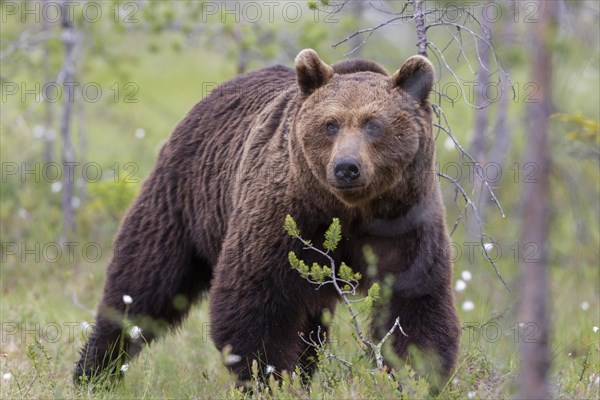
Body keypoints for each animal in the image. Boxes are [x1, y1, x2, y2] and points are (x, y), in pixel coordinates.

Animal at [74, 47, 460, 388]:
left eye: (374, 124)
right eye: (330, 124)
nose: (346, 167)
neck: (350, 210)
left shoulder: (403, 222)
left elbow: (415, 306)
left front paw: (415, 376)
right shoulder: (287, 215)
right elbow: (256, 301)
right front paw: (269, 377)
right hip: (183, 201)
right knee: (142, 285)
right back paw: (95, 372)